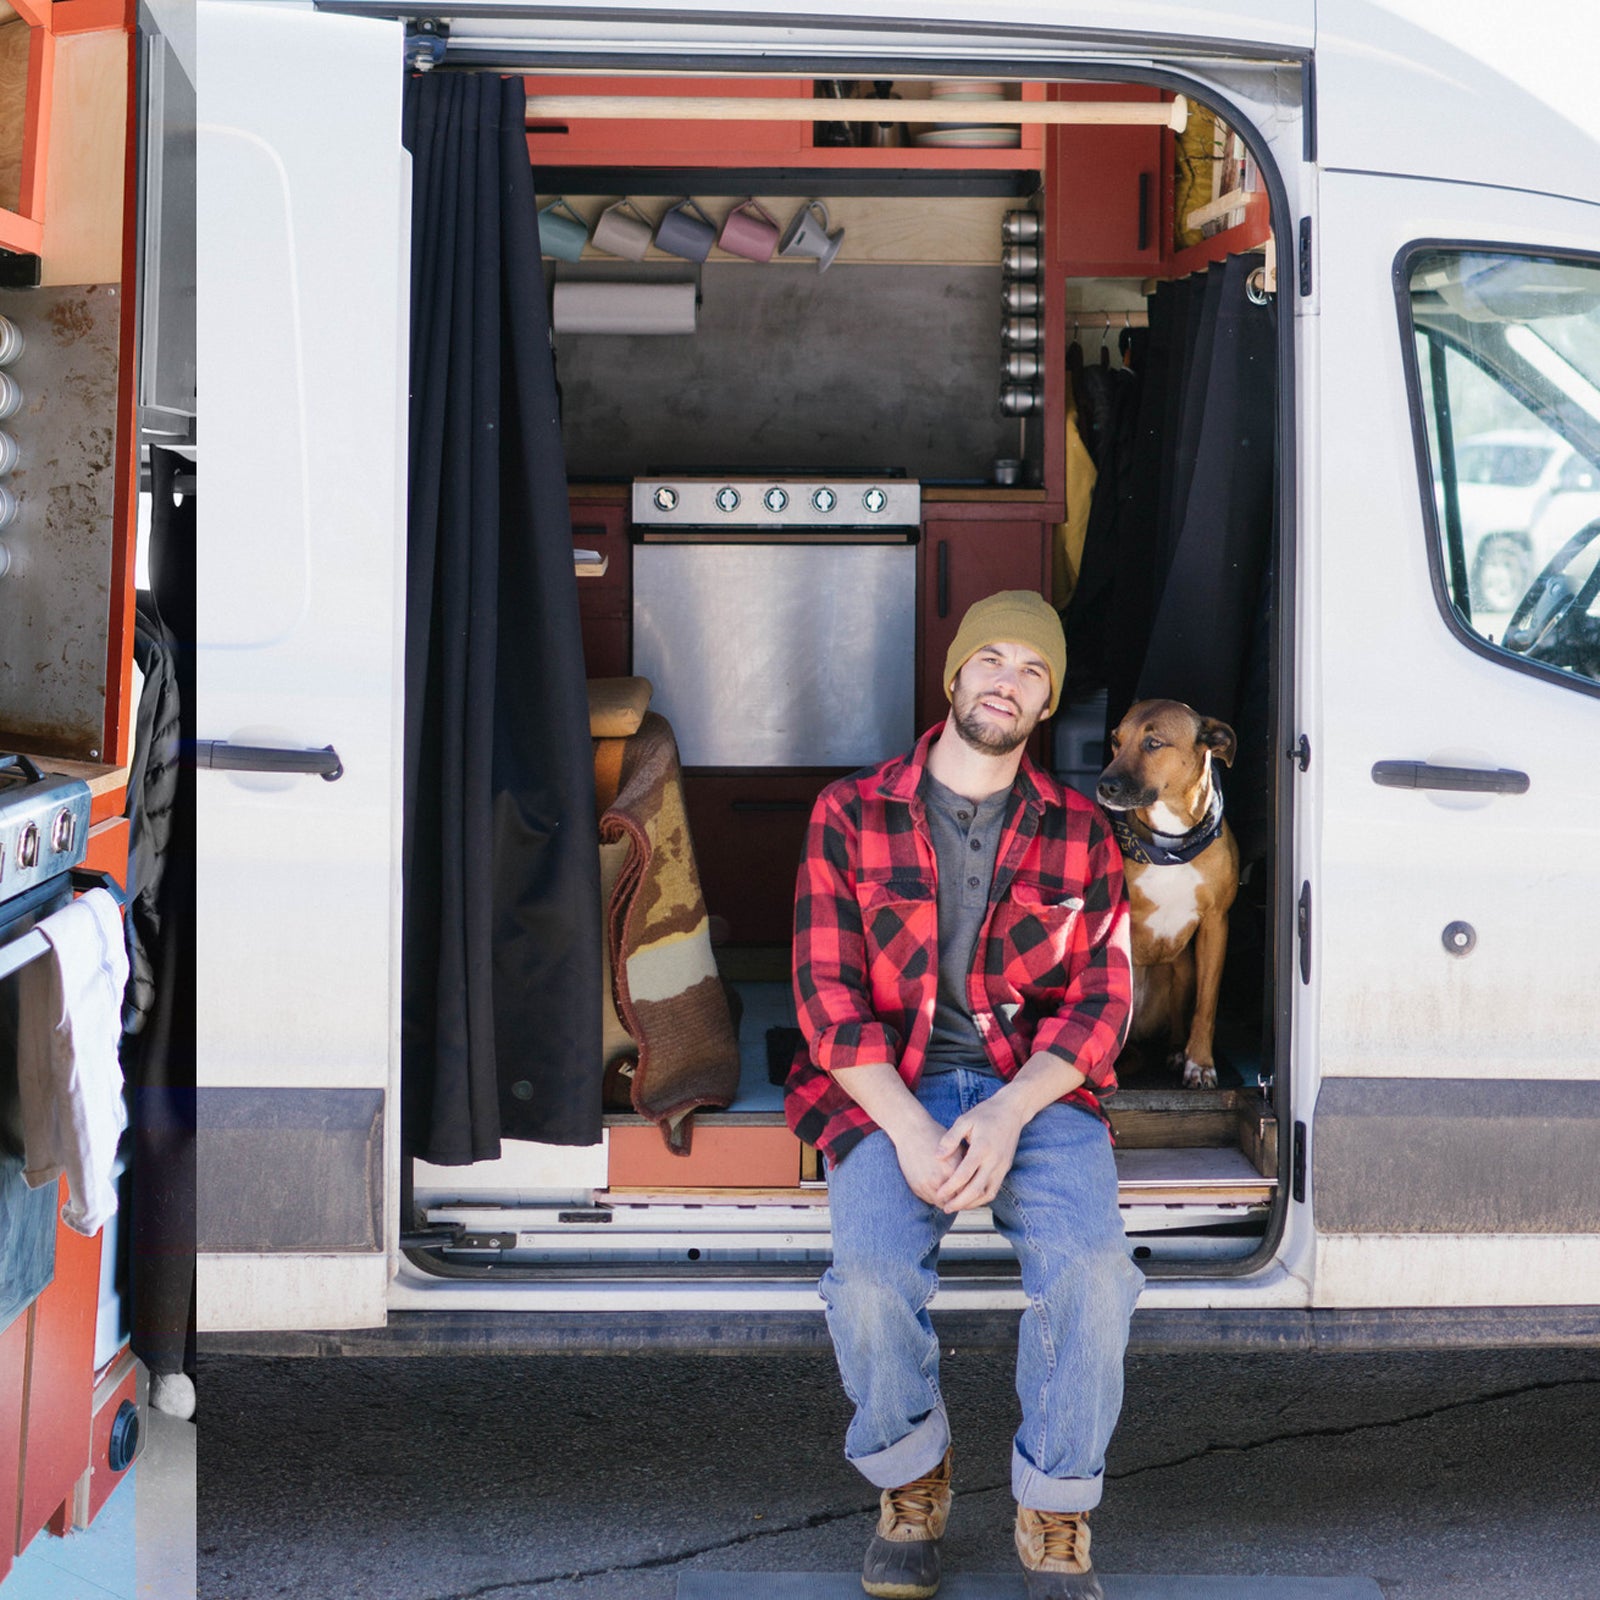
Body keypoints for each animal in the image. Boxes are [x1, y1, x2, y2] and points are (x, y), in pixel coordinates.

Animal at [1094, 700, 1241, 1088]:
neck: (1172, 840)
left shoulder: (1216, 925)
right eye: (1115, 741)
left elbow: (1206, 1006)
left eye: (1154, 744)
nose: (1104, 785)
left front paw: (1200, 1063)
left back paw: (1176, 1052)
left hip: (1182, 968)